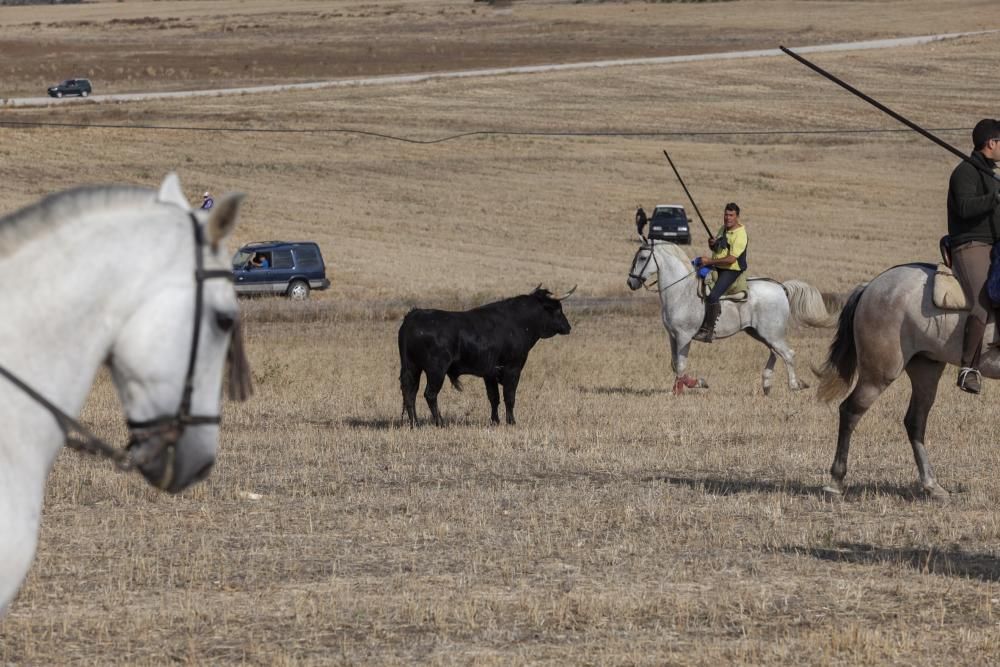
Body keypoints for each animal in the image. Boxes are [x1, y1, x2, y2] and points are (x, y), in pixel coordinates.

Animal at [396, 288, 576, 428]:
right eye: (558, 310)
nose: (568, 327)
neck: (518, 322)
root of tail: (414, 315)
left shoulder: (489, 373)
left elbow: (494, 398)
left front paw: (495, 421)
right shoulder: (513, 369)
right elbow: (509, 397)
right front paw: (511, 422)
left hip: (412, 368)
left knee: (410, 394)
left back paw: (415, 424)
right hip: (436, 370)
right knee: (429, 394)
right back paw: (440, 422)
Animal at [624, 241, 836, 394]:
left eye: (643, 257)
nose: (631, 282)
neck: (681, 290)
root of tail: (780, 287)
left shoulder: (684, 336)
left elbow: (682, 365)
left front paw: (699, 383)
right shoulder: (673, 336)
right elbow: (675, 364)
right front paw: (676, 390)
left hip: (772, 333)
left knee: (788, 354)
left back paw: (794, 385)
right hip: (759, 333)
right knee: (775, 353)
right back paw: (766, 384)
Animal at [820, 264, 992, 498]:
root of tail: (870, 286)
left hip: (926, 370)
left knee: (915, 421)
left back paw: (932, 485)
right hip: (880, 374)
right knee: (850, 411)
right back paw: (836, 481)